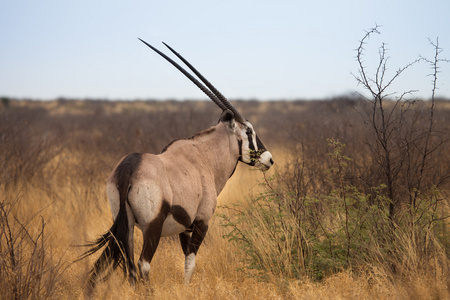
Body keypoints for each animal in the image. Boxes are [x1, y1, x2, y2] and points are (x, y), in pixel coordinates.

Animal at [84, 38, 274, 288]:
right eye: (249, 131)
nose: (268, 159)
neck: (205, 158)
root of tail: (129, 169)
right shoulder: (201, 221)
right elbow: (190, 262)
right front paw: (186, 289)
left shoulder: (184, 228)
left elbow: (185, 260)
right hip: (151, 227)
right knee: (143, 264)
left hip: (125, 225)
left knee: (130, 266)